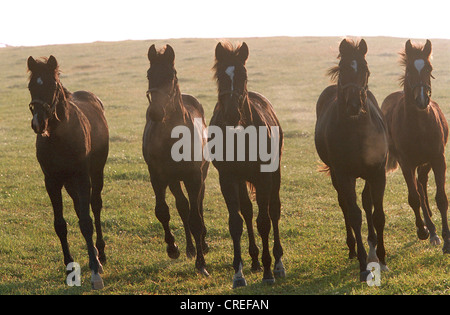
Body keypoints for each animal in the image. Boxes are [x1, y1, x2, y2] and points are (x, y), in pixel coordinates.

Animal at [27, 55, 110, 290]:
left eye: (53, 86)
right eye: (30, 86)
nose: (38, 123)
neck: (59, 137)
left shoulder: (82, 177)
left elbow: (86, 222)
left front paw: (95, 272)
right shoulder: (51, 181)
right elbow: (60, 225)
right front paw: (69, 266)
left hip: (95, 173)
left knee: (95, 206)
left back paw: (100, 253)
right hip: (69, 183)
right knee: (79, 207)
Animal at [143, 43, 210, 276]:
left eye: (171, 75)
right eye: (149, 74)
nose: (155, 112)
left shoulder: (193, 176)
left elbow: (196, 217)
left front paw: (201, 264)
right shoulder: (157, 176)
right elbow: (163, 211)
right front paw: (173, 248)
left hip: (200, 175)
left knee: (197, 205)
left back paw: (203, 244)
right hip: (173, 180)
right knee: (183, 207)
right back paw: (190, 248)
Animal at [211, 41, 284, 288]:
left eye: (243, 75)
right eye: (220, 76)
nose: (232, 113)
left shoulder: (264, 177)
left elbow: (264, 221)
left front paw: (269, 271)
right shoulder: (228, 178)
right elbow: (236, 222)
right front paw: (238, 273)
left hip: (275, 173)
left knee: (274, 210)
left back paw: (278, 263)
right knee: (247, 211)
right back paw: (253, 260)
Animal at [314, 38, 388, 282]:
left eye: (364, 69)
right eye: (343, 68)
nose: (354, 105)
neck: (356, 130)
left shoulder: (377, 172)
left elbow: (377, 213)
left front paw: (381, 258)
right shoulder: (344, 174)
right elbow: (354, 215)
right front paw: (363, 265)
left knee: (366, 202)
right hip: (338, 177)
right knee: (345, 204)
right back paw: (352, 248)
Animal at [382, 40, 448, 254]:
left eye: (429, 68)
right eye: (409, 69)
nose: (421, 100)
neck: (420, 125)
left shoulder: (438, 158)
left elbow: (441, 198)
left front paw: (447, 239)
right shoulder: (406, 163)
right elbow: (414, 198)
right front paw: (422, 230)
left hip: (425, 163)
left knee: (422, 184)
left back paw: (434, 231)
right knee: (418, 189)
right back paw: (429, 230)